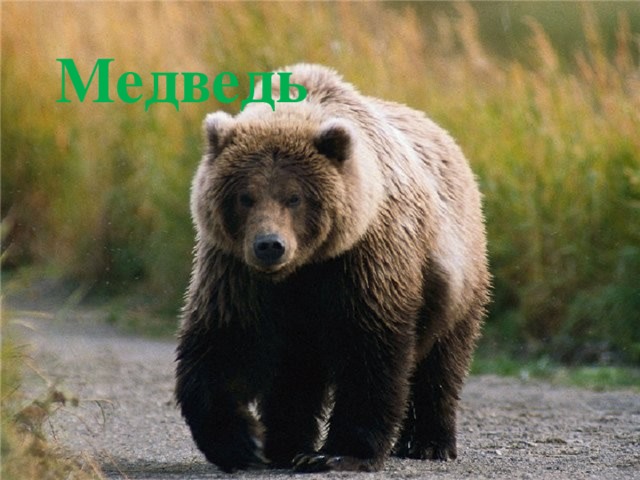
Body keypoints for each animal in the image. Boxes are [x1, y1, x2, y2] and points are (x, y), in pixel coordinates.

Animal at [175, 63, 490, 473]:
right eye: (245, 196)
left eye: (294, 197)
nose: (269, 245)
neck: (303, 268)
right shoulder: (235, 271)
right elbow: (225, 341)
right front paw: (243, 442)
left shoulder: (363, 260)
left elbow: (369, 350)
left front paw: (340, 452)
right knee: (294, 376)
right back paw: (286, 444)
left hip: (456, 274)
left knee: (442, 360)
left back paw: (428, 442)